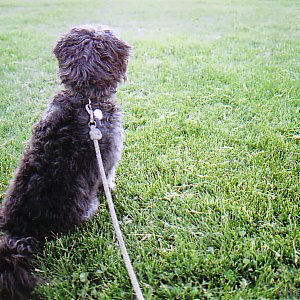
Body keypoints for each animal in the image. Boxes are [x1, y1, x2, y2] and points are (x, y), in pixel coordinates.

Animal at [0, 24, 131, 298]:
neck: (86, 100)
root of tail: (21, 230)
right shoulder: (110, 159)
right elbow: (108, 179)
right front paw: (112, 189)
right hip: (88, 206)